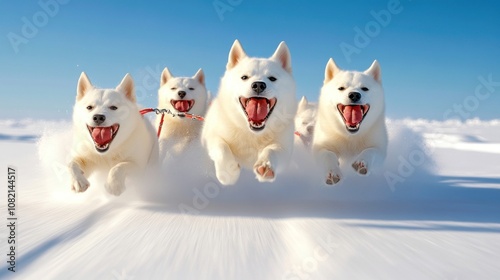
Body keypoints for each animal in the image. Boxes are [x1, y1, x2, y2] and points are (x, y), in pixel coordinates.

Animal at [202, 38, 296, 184]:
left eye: (272, 78)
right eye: (244, 77)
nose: (258, 85)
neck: (251, 134)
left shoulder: (284, 147)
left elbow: (272, 149)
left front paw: (265, 165)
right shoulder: (211, 135)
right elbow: (221, 147)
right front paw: (228, 172)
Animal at [312, 58, 386, 186]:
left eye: (365, 88)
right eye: (341, 88)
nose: (354, 94)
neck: (349, 137)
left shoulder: (379, 147)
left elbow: (370, 150)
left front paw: (362, 162)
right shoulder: (321, 147)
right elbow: (328, 155)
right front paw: (332, 172)